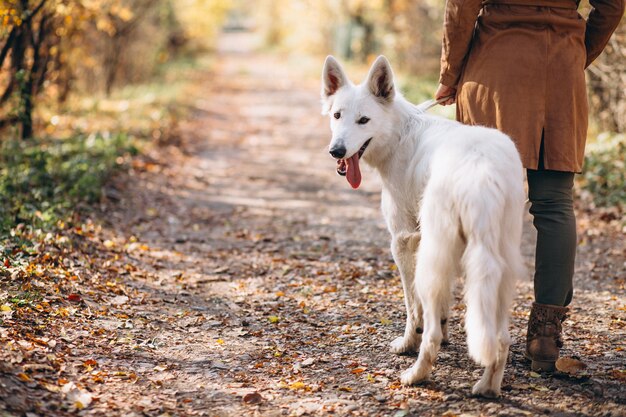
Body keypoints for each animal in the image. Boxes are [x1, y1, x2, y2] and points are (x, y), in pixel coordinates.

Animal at [320, 56, 524, 396]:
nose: (336, 151)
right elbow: (444, 306)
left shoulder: (404, 241)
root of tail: (482, 169)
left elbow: (411, 307)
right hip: (501, 265)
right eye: (337, 116)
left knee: (431, 333)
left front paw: (407, 343)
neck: (399, 133)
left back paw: (416, 374)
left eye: (364, 120)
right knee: (501, 338)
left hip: (432, 259)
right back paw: (487, 387)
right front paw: (446, 327)